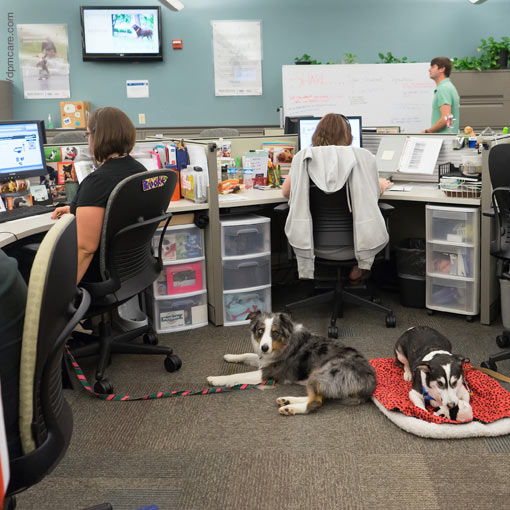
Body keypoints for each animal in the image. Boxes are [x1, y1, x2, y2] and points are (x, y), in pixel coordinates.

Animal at [205, 310, 376, 414]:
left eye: (275, 332)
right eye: (260, 330)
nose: (265, 347)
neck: (282, 344)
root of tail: (370, 383)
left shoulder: (268, 372)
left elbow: (238, 375)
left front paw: (215, 379)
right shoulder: (263, 359)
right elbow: (248, 355)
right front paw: (230, 356)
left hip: (322, 373)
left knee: (315, 402)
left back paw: (290, 408)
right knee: (319, 396)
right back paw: (286, 400)